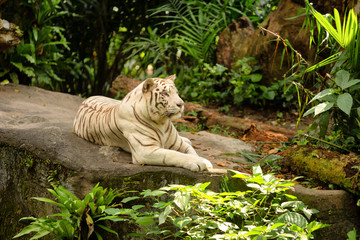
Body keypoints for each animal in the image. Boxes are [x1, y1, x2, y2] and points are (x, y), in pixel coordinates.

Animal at [73, 74, 214, 172]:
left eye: (177, 93)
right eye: (165, 93)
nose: (181, 104)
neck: (161, 121)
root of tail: (90, 96)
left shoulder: (178, 144)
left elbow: (191, 151)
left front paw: (204, 161)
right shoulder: (145, 150)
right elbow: (173, 154)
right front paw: (198, 162)